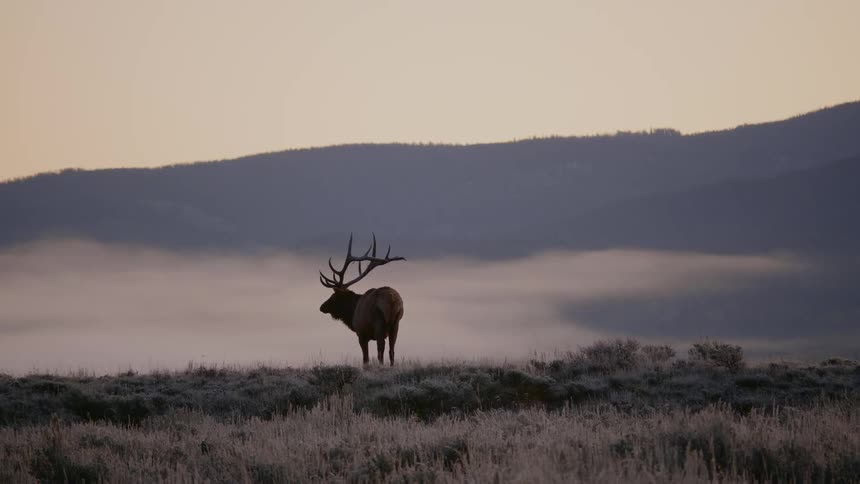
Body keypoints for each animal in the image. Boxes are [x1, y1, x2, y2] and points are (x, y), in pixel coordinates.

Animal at [319, 233, 405, 366]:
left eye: (333, 296)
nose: (321, 307)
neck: (352, 313)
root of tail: (392, 300)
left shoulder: (361, 333)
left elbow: (365, 358)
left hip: (379, 322)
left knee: (381, 348)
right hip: (396, 323)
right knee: (392, 350)